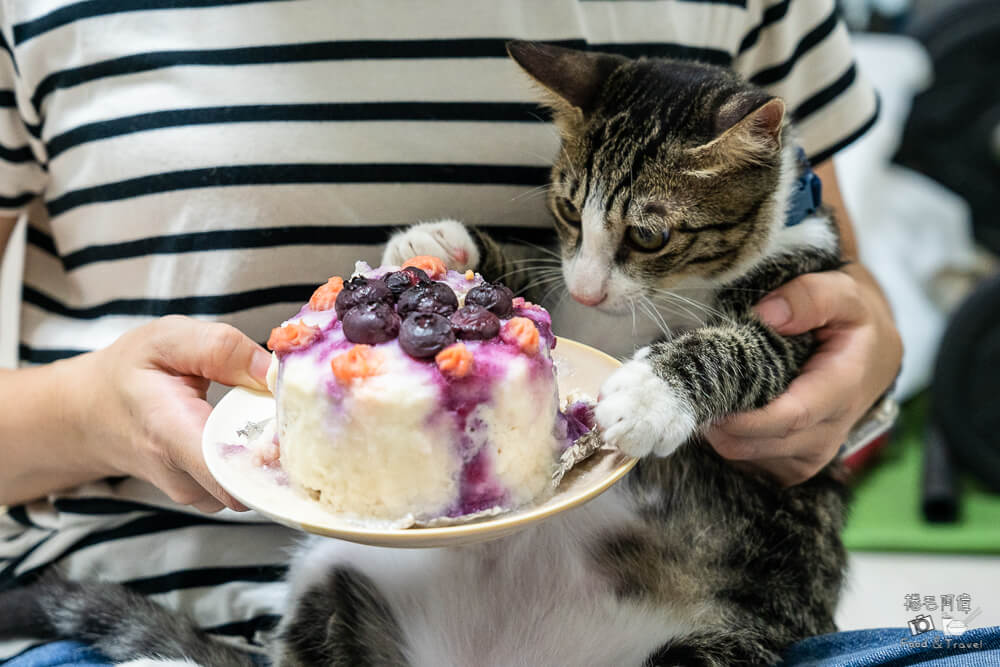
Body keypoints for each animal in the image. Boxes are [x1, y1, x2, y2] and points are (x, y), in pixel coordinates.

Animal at [0, 41, 852, 667]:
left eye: (649, 233)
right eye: (566, 207)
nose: (593, 281)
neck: (653, 302)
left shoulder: (800, 302)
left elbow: (744, 347)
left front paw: (648, 396)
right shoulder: (575, 293)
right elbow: (533, 282)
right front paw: (441, 242)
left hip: (715, 643)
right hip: (337, 577)